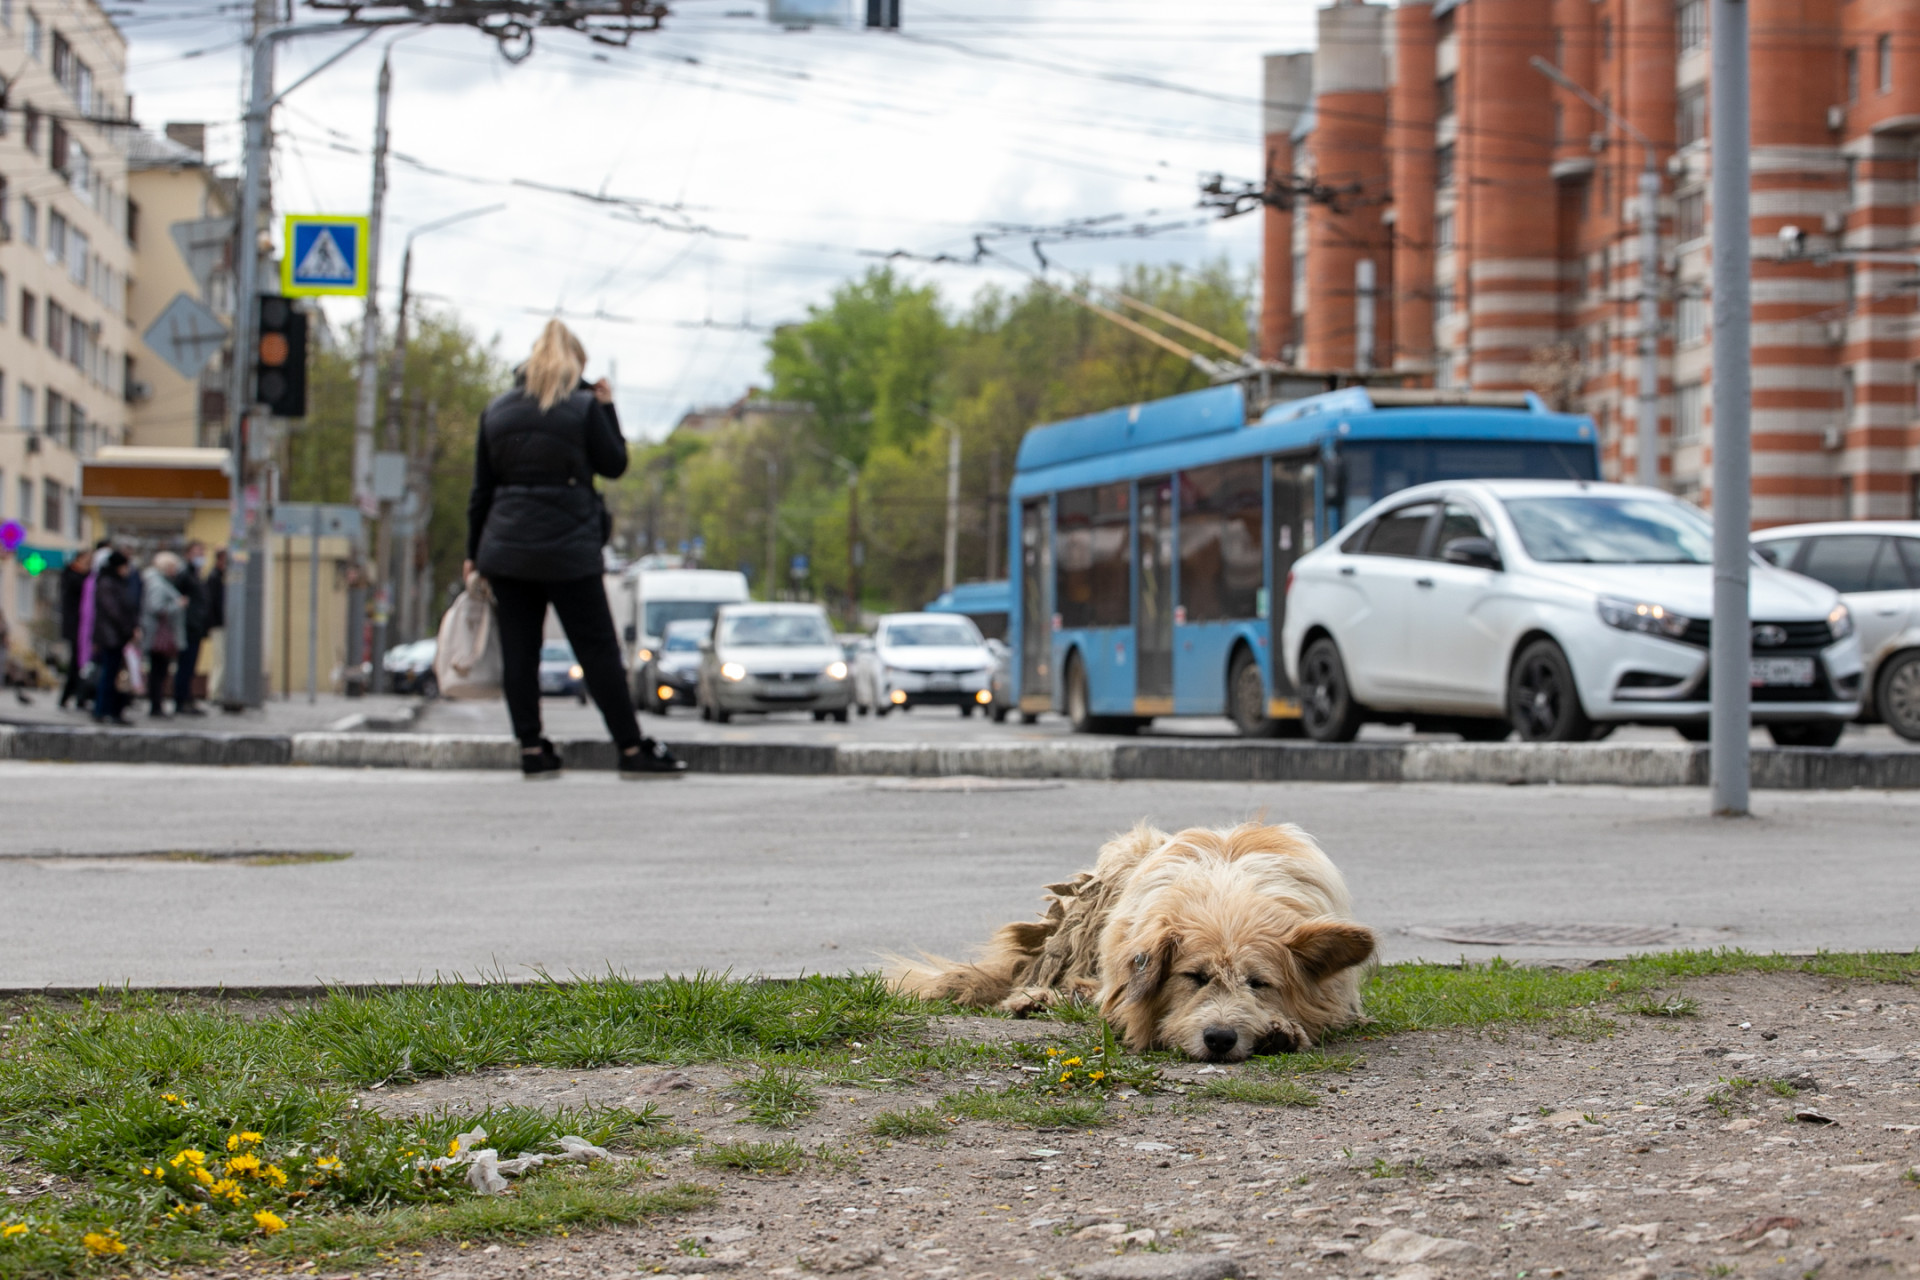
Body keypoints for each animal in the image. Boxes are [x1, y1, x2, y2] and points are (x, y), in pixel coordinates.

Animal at [890, 821, 1374, 1059]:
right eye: (1193, 977)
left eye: (1259, 984)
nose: (1219, 1038)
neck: (1225, 898)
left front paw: (1280, 1031)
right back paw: (1040, 997)